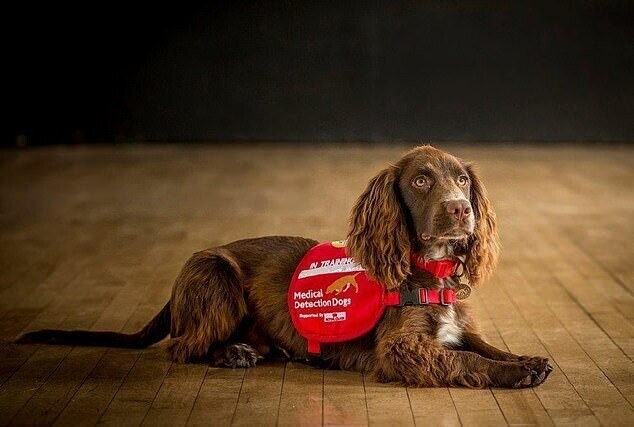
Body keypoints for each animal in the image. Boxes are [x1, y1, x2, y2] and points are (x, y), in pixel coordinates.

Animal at [13, 146, 548, 388]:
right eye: (420, 181)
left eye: (463, 180)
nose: (460, 210)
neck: (426, 271)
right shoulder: (401, 349)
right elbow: (466, 360)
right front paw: (515, 373)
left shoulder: (458, 327)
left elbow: (484, 346)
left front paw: (526, 360)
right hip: (215, 274)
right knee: (183, 347)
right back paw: (232, 353)